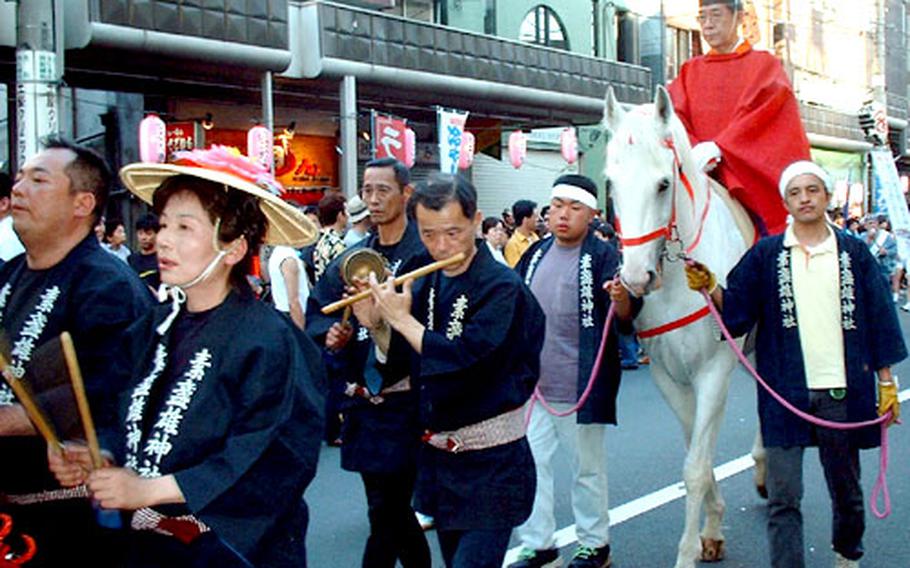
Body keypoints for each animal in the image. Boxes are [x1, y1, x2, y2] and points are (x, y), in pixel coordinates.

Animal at [604, 85, 768, 568]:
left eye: (663, 184)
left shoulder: (712, 370)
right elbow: (699, 451)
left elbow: (695, 468)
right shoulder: (668, 375)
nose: (636, 278)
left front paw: (687, 551)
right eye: (611, 184)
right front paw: (710, 531)